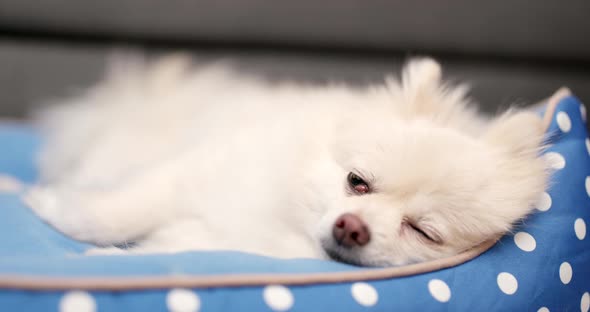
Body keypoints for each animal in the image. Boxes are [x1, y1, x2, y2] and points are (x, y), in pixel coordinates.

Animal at [23, 55, 552, 266]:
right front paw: (49, 206)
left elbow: (170, 251)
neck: (286, 227)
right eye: (357, 181)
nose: (351, 227)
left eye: (424, 232)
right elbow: (114, 213)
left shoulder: (213, 243)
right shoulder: (191, 173)